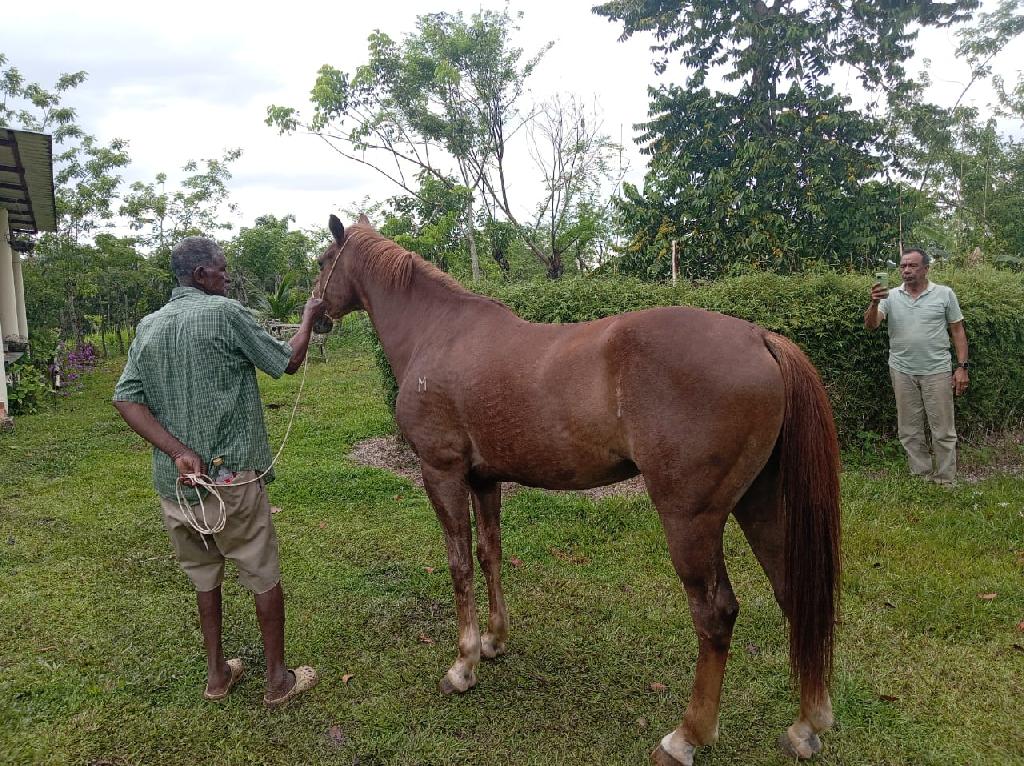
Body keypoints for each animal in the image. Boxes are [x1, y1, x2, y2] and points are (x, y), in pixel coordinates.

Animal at [314, 215, 841, 765]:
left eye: (323, 262)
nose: (317, 314)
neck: (437, 333)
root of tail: (760, 337)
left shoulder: (442, 472)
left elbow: (459, 565)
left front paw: (463, 666)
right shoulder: (484, 480)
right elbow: (489, 554)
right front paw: (494, 641)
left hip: (691, 520)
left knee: (715, 616)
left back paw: (686, 736)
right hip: (761, 502)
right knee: (793, 592)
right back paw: (807, 724)